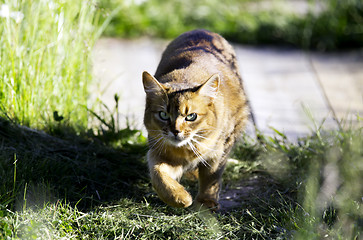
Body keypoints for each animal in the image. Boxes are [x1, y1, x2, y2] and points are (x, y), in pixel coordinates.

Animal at [142, 29, 250, 210]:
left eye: (191, 116)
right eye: (163, 115)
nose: (176, 131)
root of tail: (204, 30)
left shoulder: (219, 151)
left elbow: (211, 177)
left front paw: (206, 202)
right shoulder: (159, 152)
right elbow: (158, 173)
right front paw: (179, 197)